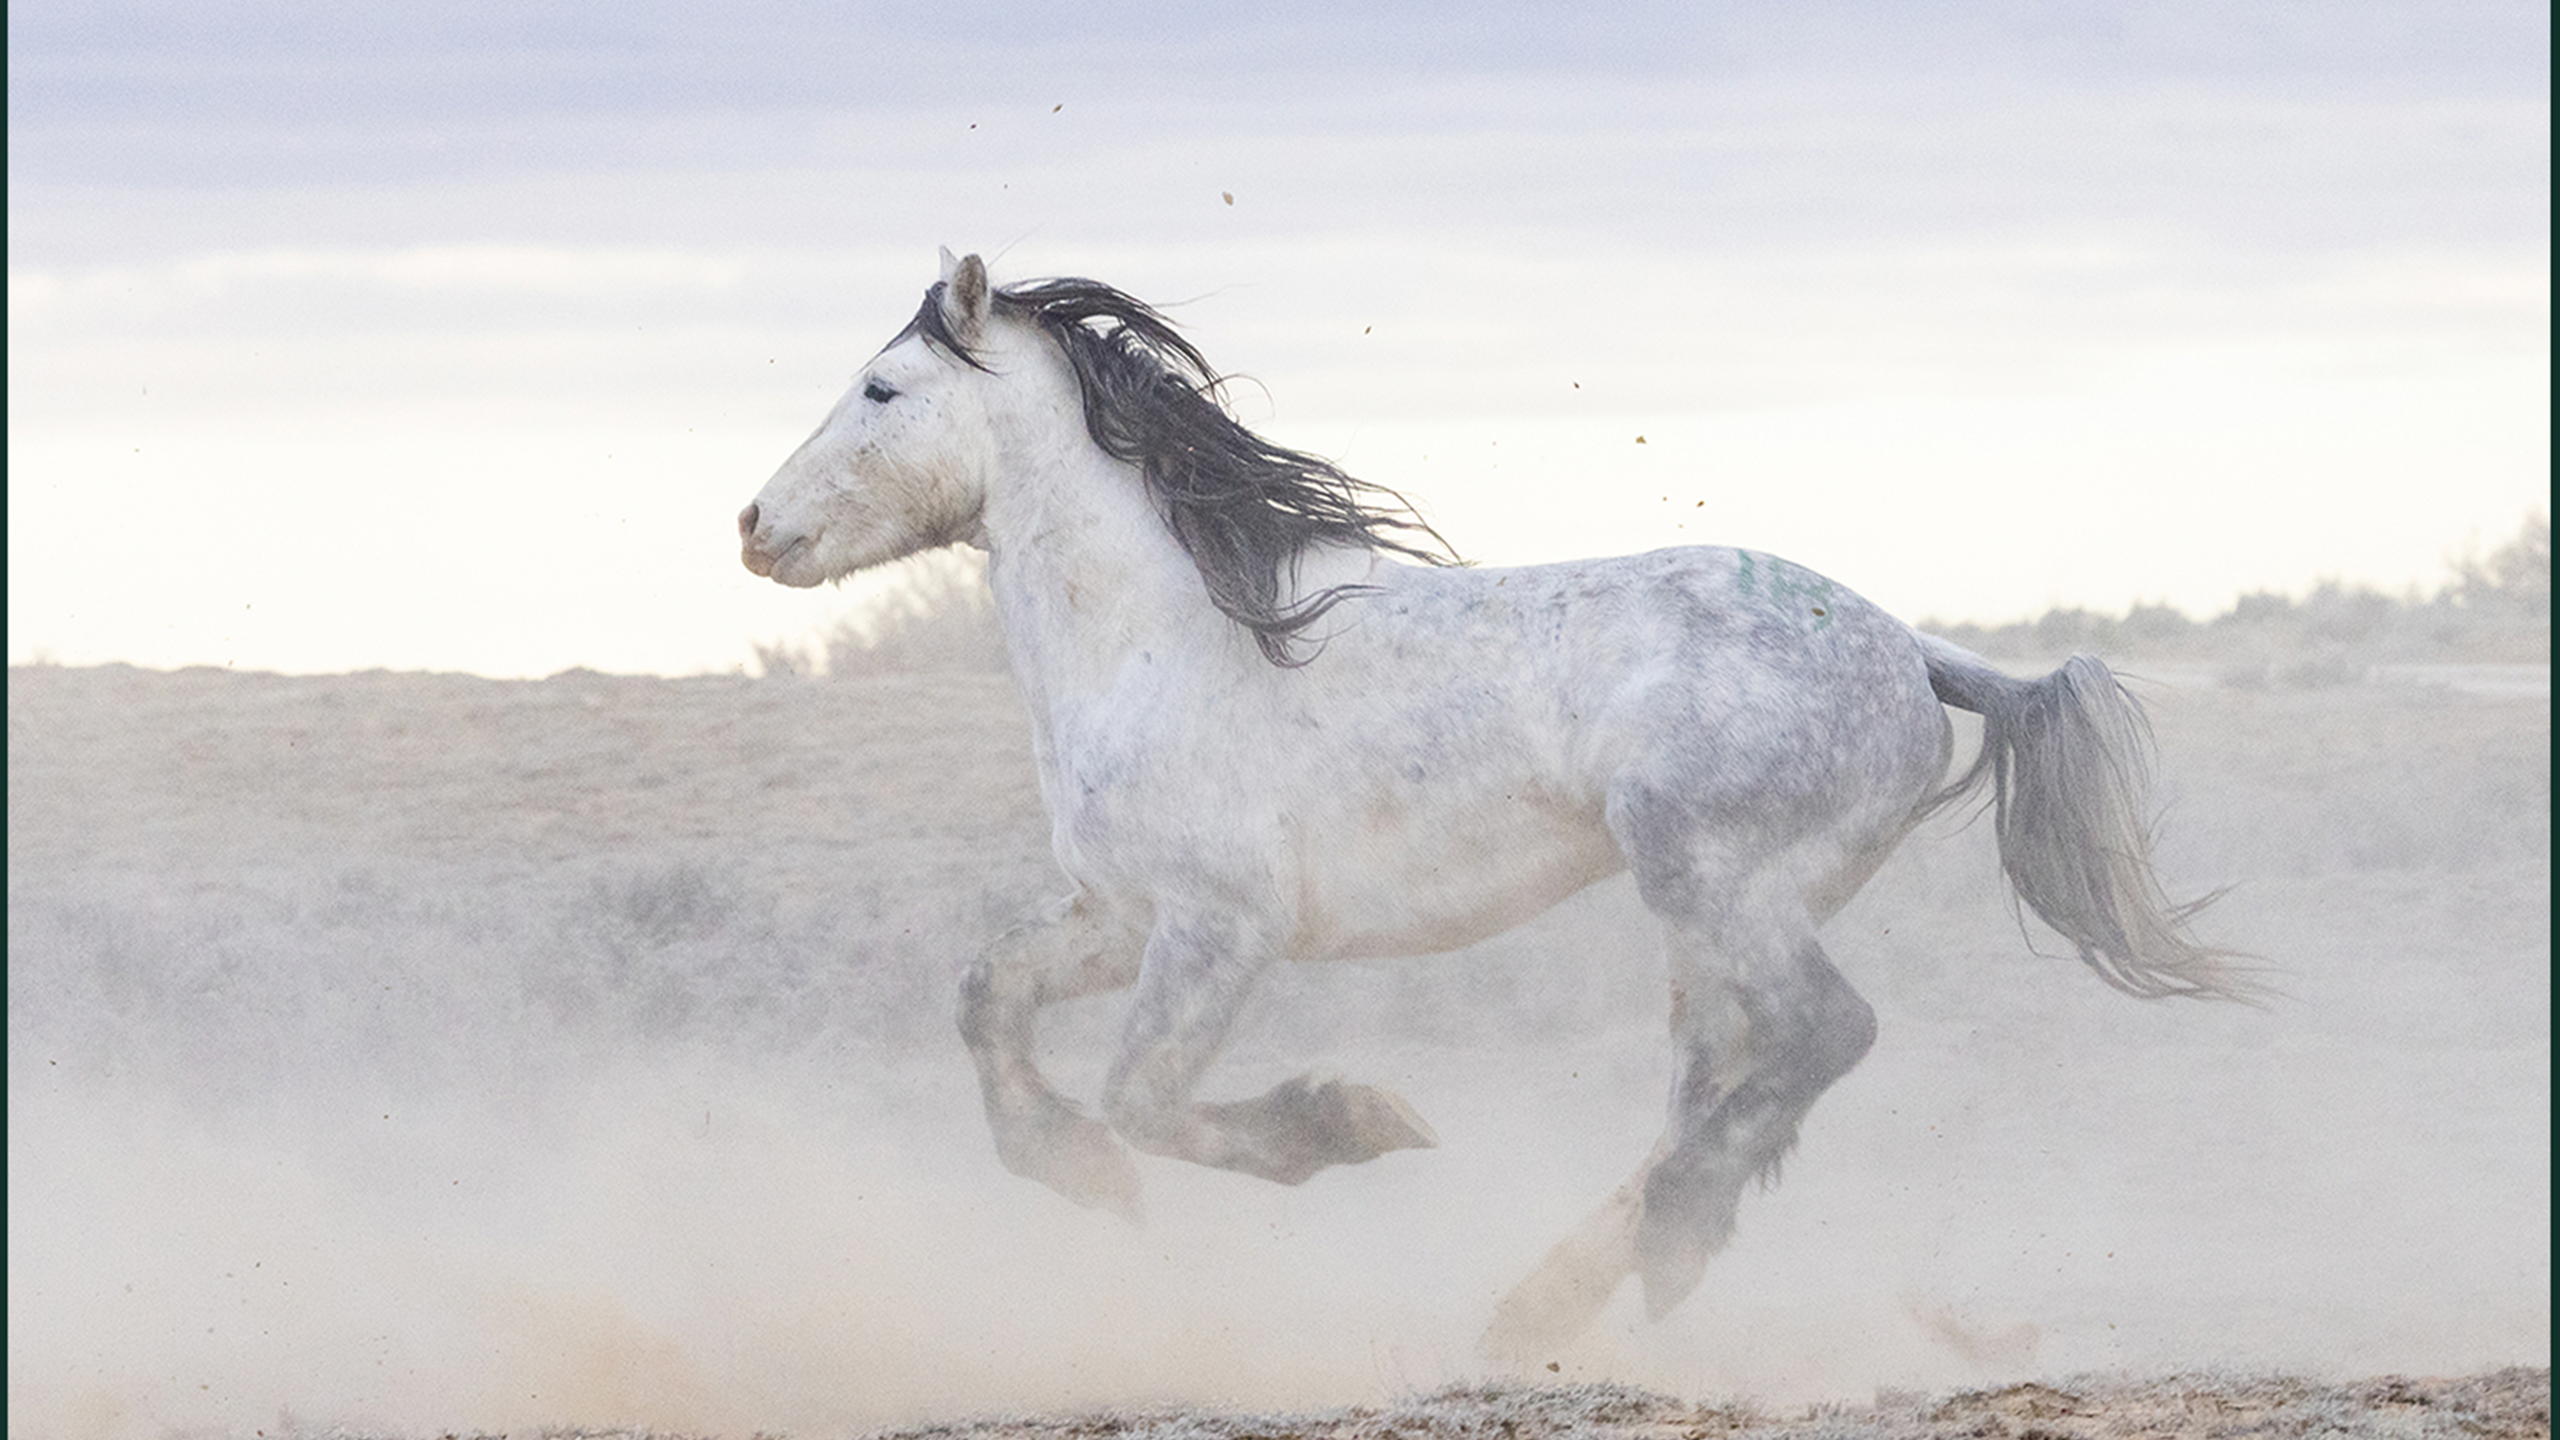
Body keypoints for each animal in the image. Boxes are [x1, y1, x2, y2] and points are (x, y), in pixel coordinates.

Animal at [736, 249, 2249, 1356]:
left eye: (879, 390)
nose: (753, 528)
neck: (1162, 634)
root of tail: (1917, 652)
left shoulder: (1217, 930)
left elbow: (1146, 1098)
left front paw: (1348, 1123)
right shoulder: (1117, 915)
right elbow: (988, 996)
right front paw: (1069, 1172)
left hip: (1709, 874)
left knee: (1821, 1037)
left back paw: (1655, 1247)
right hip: (1721, 913)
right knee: (1721, 1079)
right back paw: (1554, 1302)